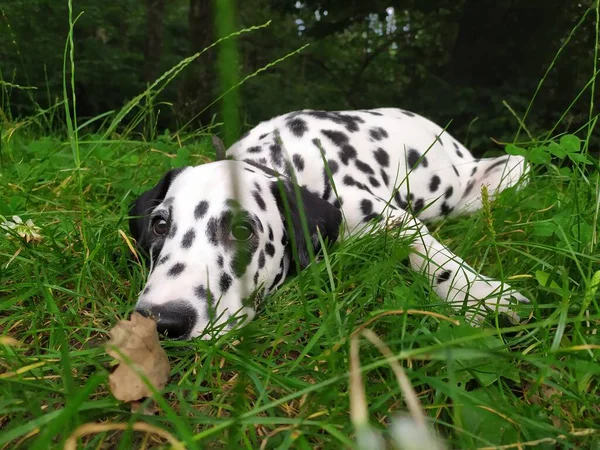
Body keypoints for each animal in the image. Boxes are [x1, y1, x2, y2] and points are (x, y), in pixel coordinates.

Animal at [130, 108, 528, 338]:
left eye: (242, 230)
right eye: (160, 225)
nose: (162, 320)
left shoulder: (389, 217)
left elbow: (433, 255)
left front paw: (481, 296)